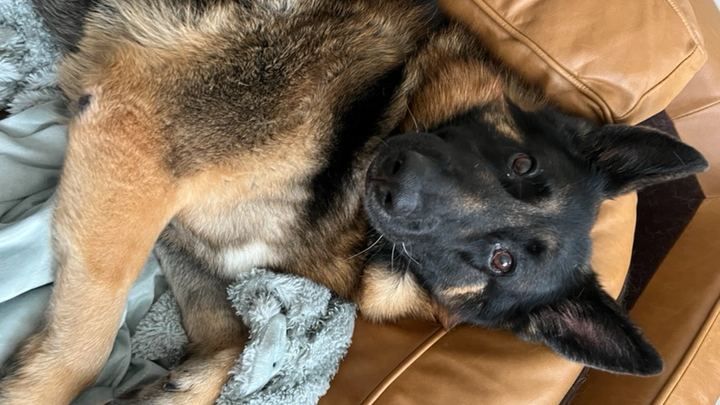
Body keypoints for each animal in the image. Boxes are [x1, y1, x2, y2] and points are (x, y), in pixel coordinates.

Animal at [0, 0, 708, 404]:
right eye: (521, 164)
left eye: (501, 263)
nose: (395, 179)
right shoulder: (134, 136)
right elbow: (95, 319)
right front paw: (40, 386)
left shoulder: (183, 228)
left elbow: (231, 336)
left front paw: (186, 386)